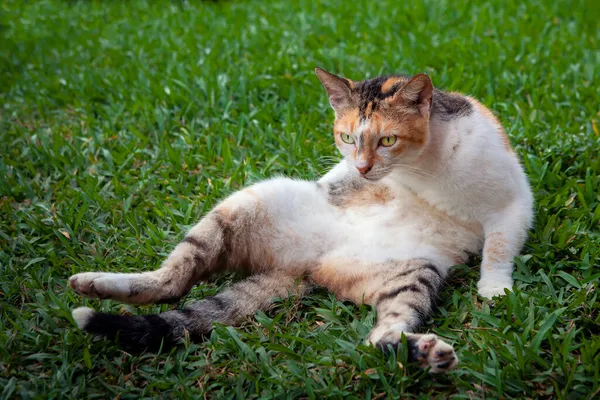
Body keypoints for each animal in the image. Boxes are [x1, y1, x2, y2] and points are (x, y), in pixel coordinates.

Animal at [69, 68, 536, 372]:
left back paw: (424, 353)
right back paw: (97, 282)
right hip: (247, 203)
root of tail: (310, 264)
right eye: (347, 138)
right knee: (171, 281)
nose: (362, 168)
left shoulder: (514, 203)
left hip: (412, 272)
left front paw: (494, 289)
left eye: (388, 139)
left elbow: (498, 247)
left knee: (380, 337)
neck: (423, 168)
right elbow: (335, 175)